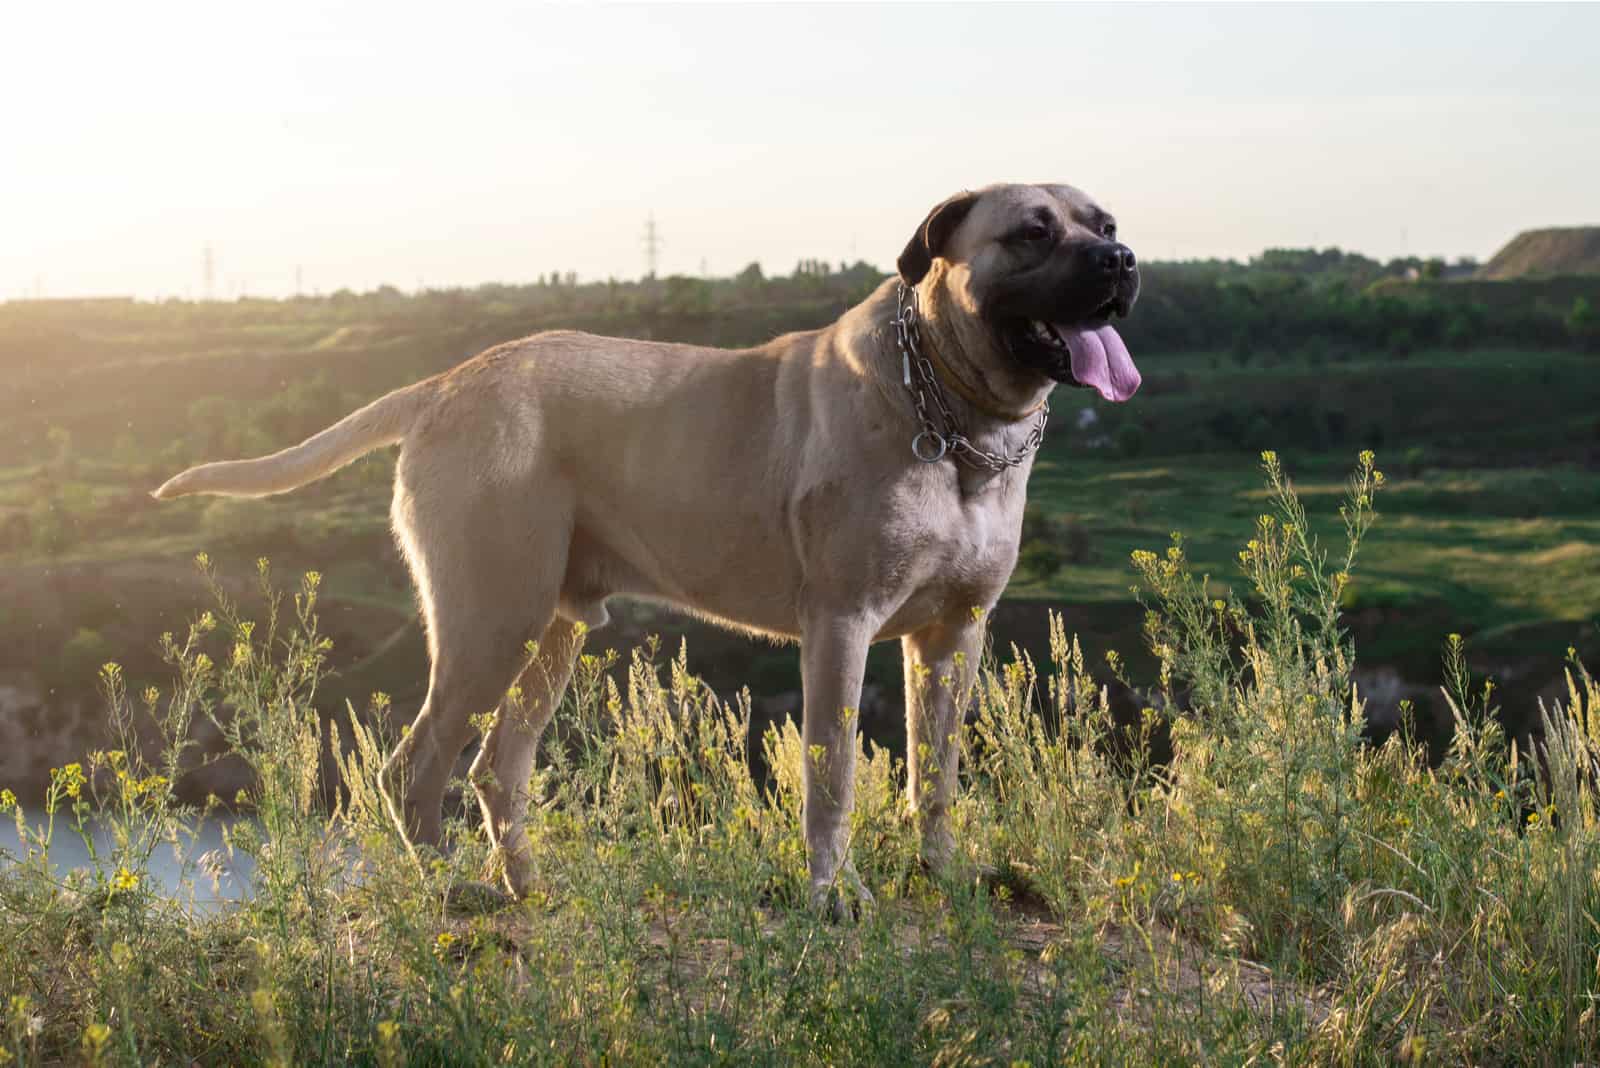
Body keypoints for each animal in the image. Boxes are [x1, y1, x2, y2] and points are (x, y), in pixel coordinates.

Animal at [152, 183, 1139, 920]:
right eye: (1032, 231)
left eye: (1107, 223)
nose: (1123, 261)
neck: (953, 415)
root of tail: (444, 383)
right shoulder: (842, 626)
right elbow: (832, 772)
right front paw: (834, 892)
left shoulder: (953, 634)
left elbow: (936, 771)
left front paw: (941, 874)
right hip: (490, 620)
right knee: (418, 763)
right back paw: (448, 890)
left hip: (551, 628)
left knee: (495, 768)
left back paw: (527, 889)